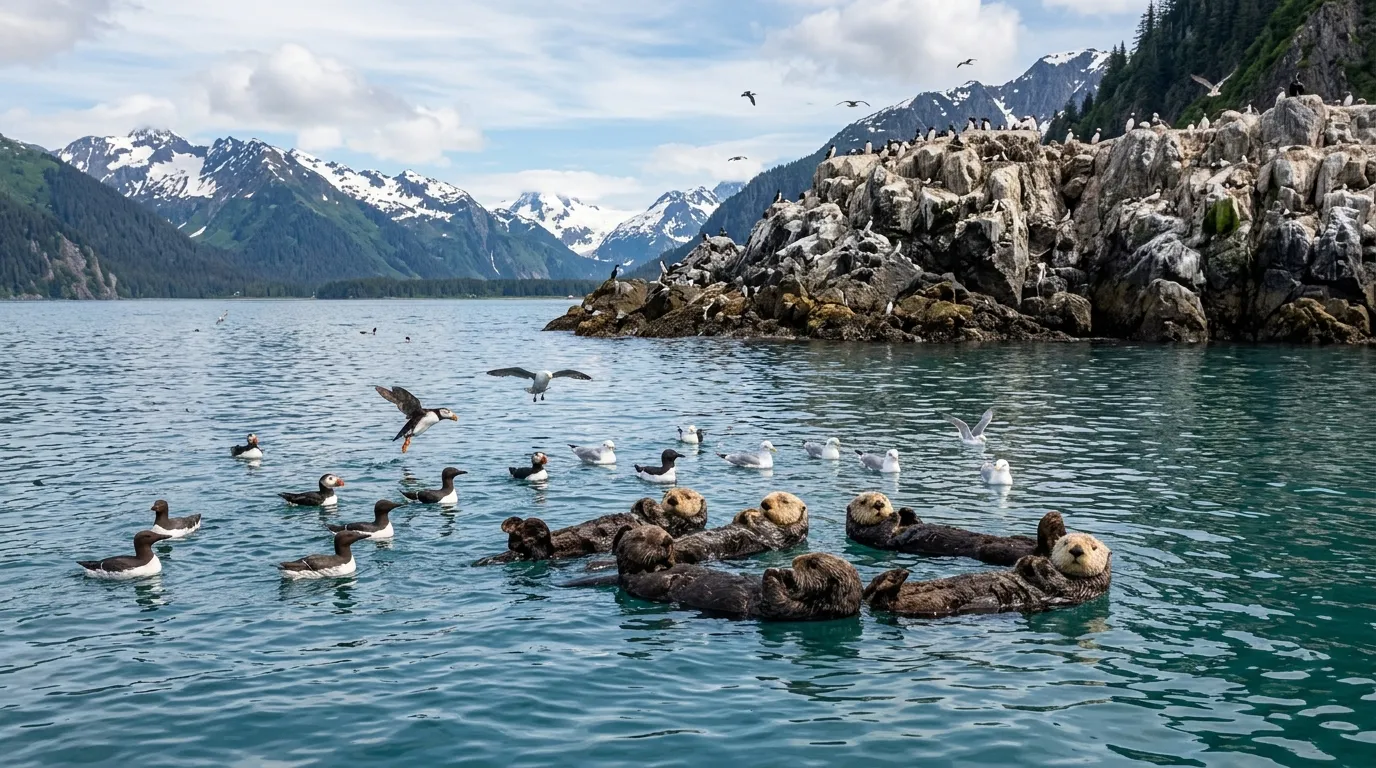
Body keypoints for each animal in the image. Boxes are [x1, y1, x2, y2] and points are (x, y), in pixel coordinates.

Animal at [472, 488, 708, 565]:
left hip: (553, 549)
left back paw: (530, 530)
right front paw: (647, 502)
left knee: (539, 551)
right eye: (668, 494)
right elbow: (640, 506)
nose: (671, 499)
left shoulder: (682, 525)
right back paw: (512, 525)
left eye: (687, 496)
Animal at [601, 524, 862, 621]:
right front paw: (783, 573)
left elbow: (775, 600)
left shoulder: (798, 611)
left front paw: (774, 573)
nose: (796, 561)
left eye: (813, 564)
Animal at [846, 491, 1059, 565]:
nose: (879, 504)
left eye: (884, 497)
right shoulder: (866, 535)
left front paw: (906, 510)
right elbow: (885, 535)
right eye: (864, 501)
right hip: (994, 551)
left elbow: (917, 523)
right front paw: (894, 516)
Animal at [862, 531, 1112, 618]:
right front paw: (1027, 561)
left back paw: (893, 580)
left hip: (932, 603)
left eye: (1093, 548)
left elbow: (1058, 582)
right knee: (871, 594)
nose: (1077, 550)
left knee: (887, 600)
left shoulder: (1084, 589)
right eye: (1065, 542)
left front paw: (1039, 562)